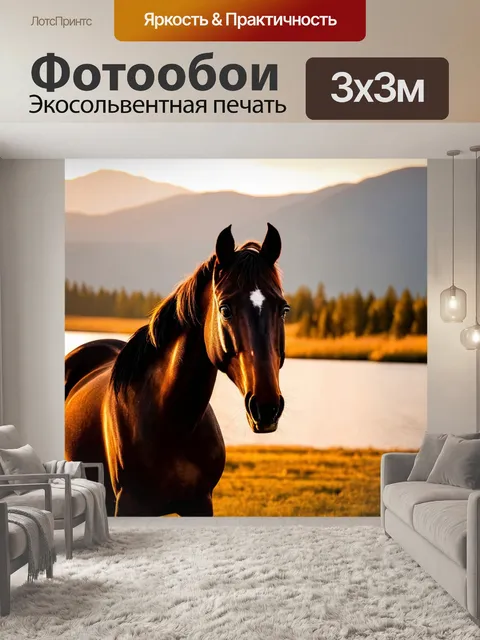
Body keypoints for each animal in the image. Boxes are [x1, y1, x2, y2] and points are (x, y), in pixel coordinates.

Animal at [65, 223, 289, 517]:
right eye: (225, 309)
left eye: (283, 309)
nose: (266, 407)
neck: (171, 422)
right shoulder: (128, 505)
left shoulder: (200, 504)